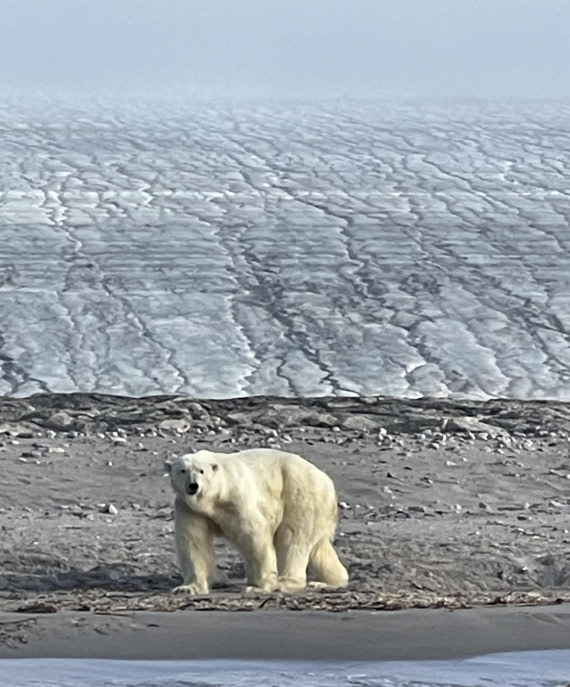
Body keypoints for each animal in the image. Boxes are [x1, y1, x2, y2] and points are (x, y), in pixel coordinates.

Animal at [165, 447, 349, 595]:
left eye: (201, 471)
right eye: (182, 470)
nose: (193, 485)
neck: (215, 496)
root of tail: (327, 480)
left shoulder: (238, 499)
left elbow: (254, 536)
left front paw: (258, 587)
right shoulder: (188, 508)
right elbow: (194, 542)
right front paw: (187, 588)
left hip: (300, 494)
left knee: (292, 539)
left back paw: (284, 582)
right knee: (318, 546)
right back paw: (328, 582)